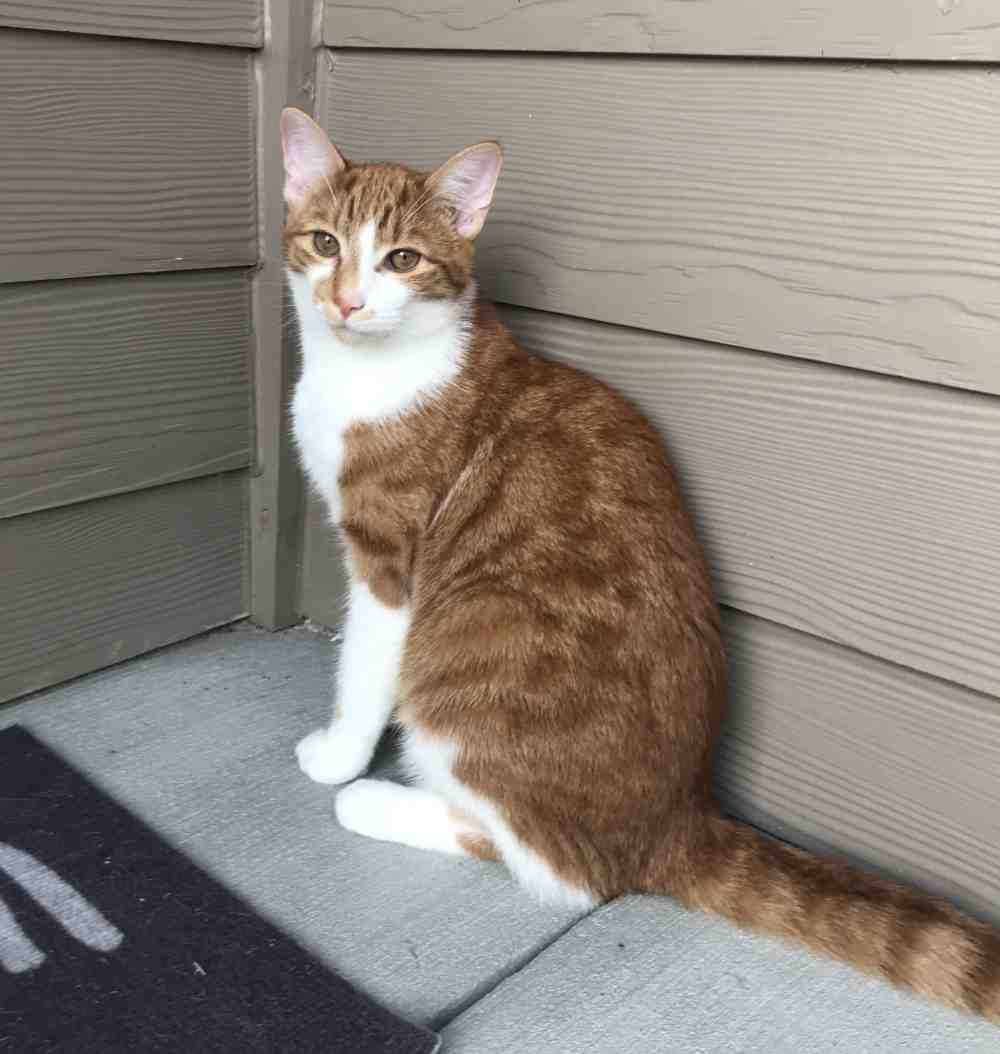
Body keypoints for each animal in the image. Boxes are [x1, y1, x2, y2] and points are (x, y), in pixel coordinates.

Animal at [278, 106, 998, 1020]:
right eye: (325, 243)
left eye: (401, 259)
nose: (346, 300)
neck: (368, 374)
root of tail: (679, 817)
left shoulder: (387, 557)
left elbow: (365, 667)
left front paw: (339, 756)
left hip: (466, 663)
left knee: (567, 871)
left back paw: (374, 800)